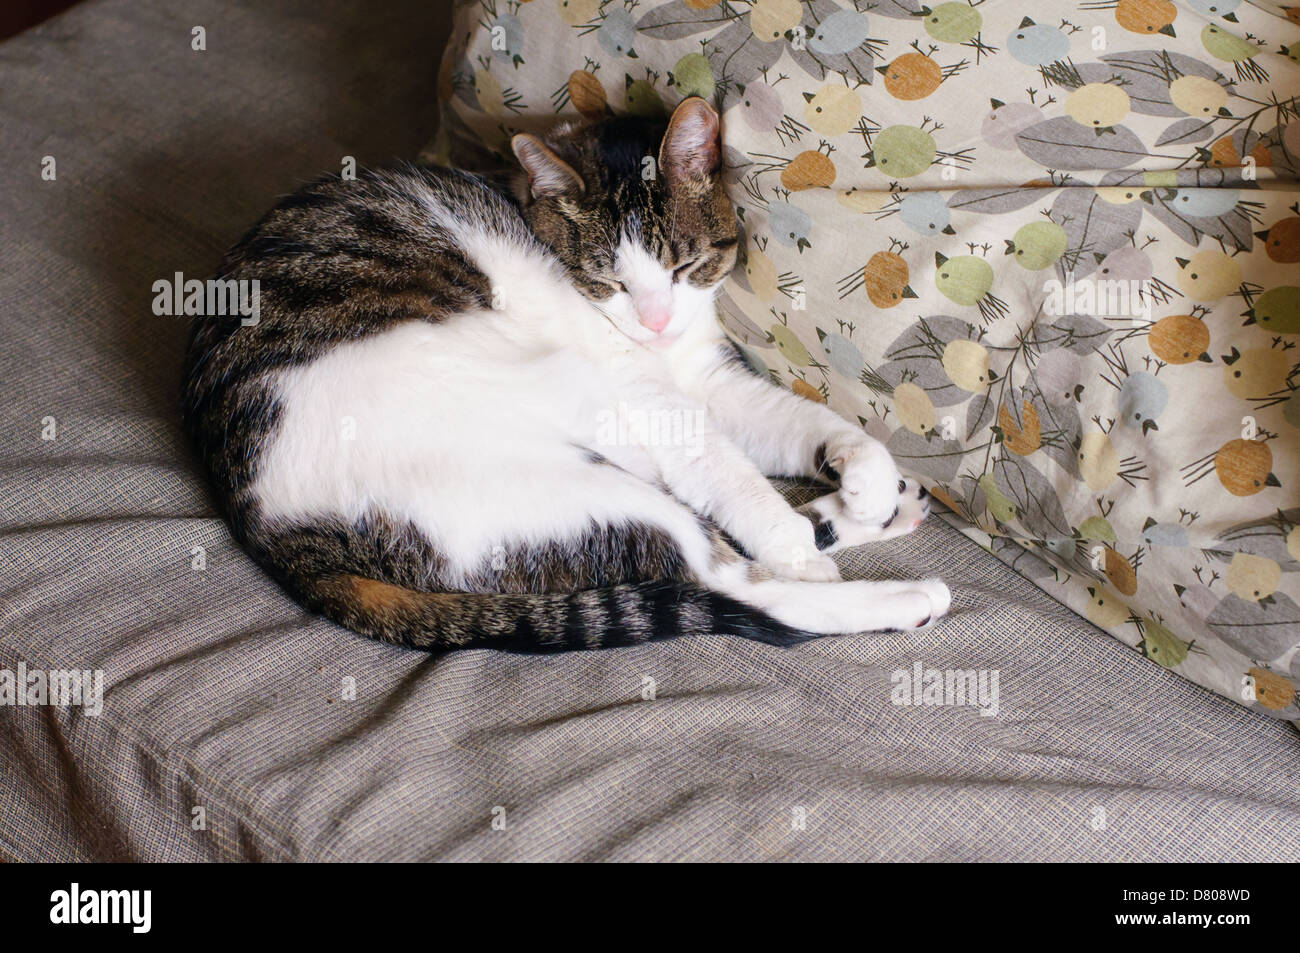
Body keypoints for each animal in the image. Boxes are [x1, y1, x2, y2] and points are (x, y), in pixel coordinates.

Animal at [183, 98, 951, 655]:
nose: (655, 320)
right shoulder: (650, 396)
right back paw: (891, 592)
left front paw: (866, 474)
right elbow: (725, 471)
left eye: (682, 265)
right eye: (609, 281)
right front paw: (791, 534)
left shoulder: (706, 377)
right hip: (560, 465)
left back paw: (885, 508)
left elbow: (796, 421)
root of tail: (275, 538)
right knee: (736, 583)